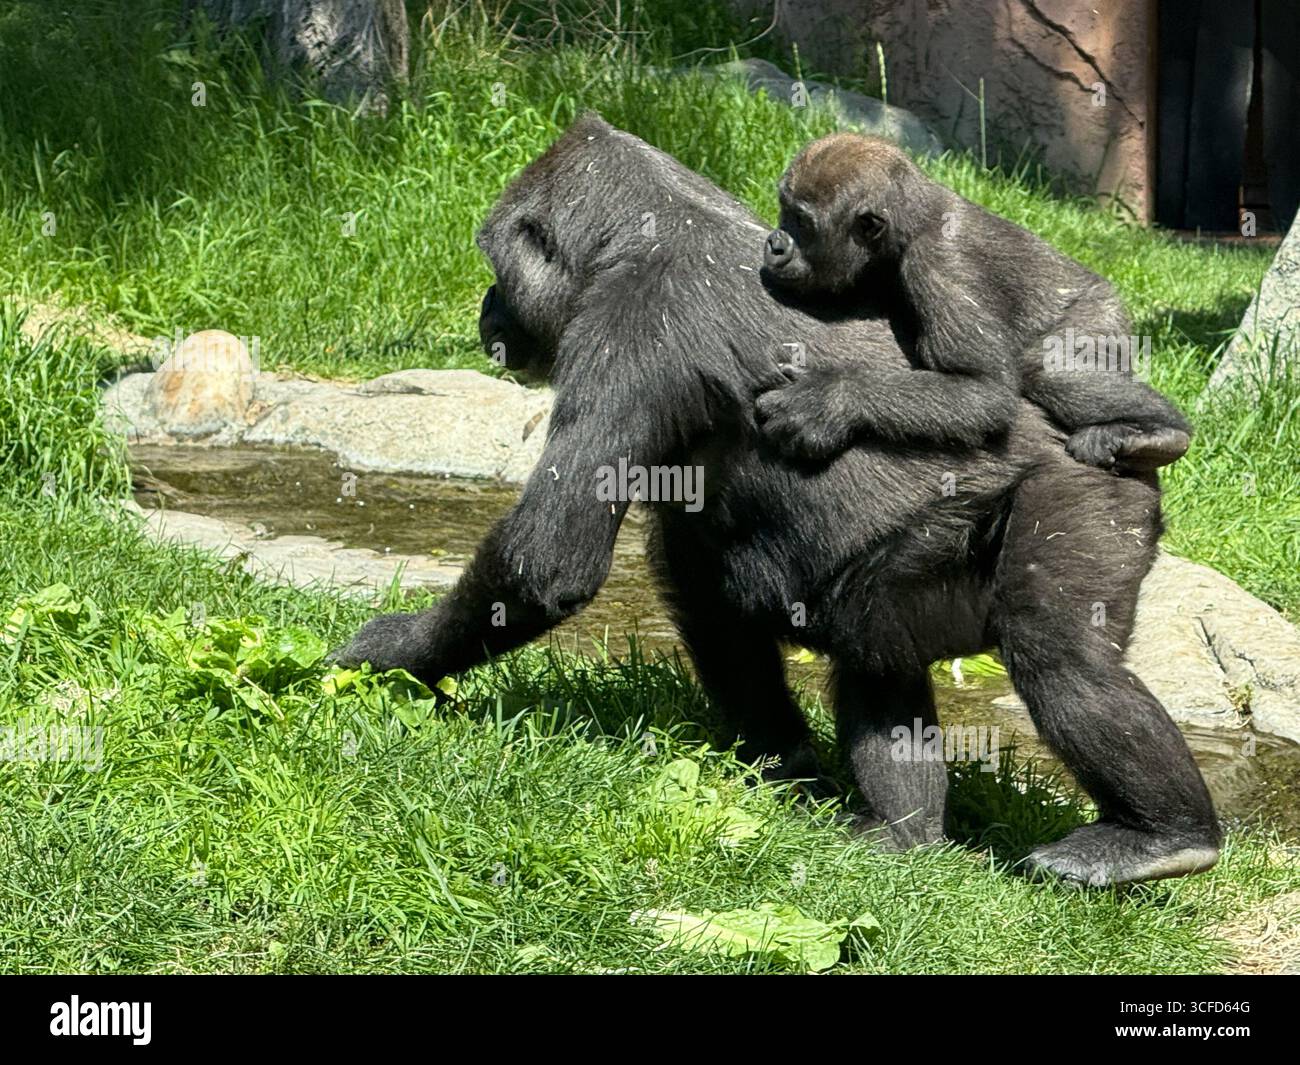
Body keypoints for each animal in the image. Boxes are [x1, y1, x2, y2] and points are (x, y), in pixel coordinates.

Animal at [757, 133, 1193, 473]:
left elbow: (984, 390)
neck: (910, 223)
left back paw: (1166, 434)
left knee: (1049, 370)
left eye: (802, 223)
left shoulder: (941, 264)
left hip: (1102, 315)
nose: (775, 244)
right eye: (784, 210)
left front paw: (832, 397)